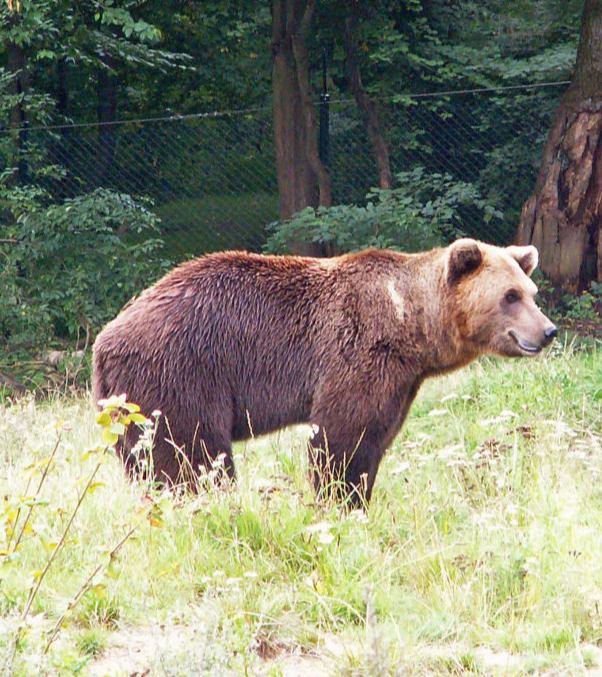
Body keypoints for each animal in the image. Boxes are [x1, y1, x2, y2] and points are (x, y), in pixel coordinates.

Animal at [92, 238, 557, 506]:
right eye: (510, 296)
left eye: (531, 292)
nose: (548, 331)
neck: (412, 325)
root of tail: (104, 340)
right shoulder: (359, 352)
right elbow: (342, 436)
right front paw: (343, 499)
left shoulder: (402, 379)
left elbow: (375, 435)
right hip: (179, 372)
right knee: (192, 454)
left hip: (128, 404)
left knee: (145, 460)